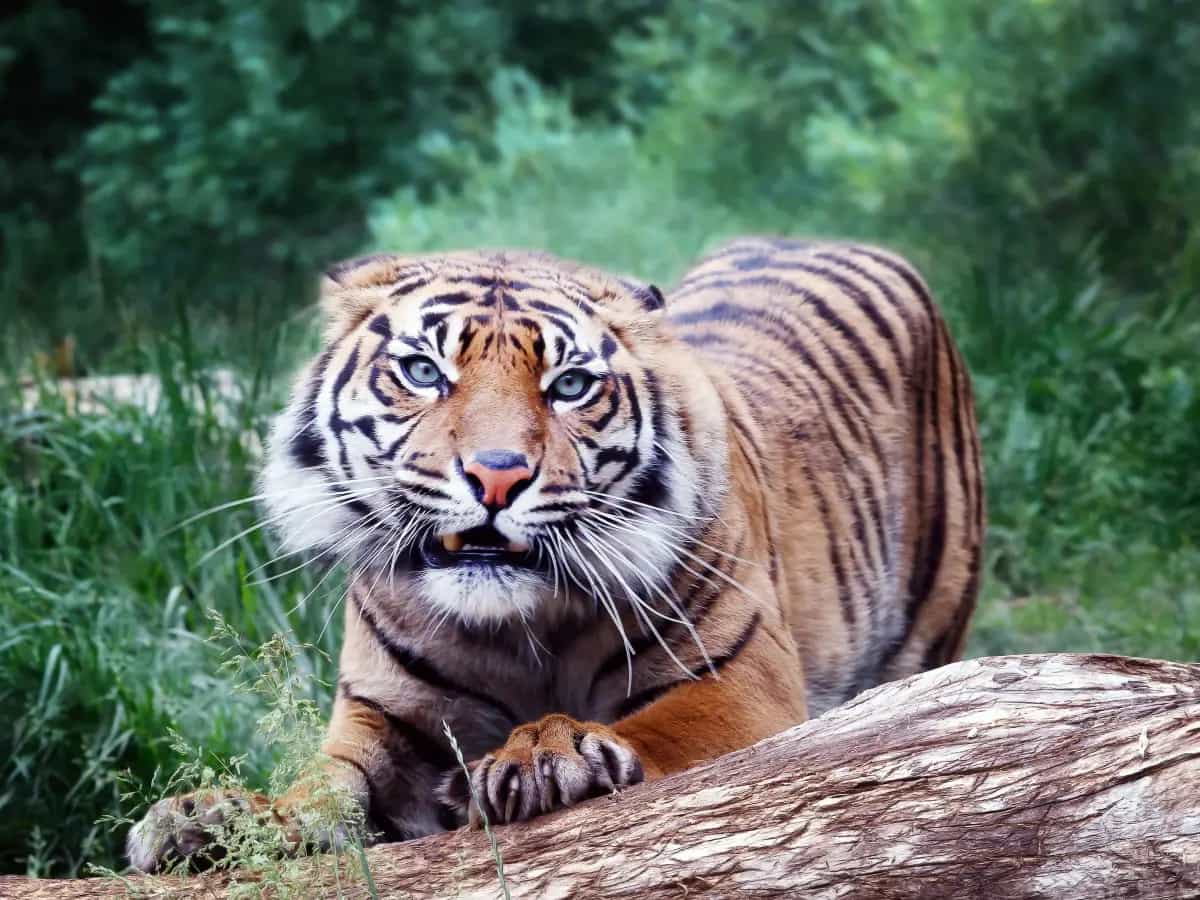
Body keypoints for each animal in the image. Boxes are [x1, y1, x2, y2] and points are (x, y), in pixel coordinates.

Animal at [127, 237, 984, 872]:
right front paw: (207, 819)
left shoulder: (742, 685)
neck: (517, 629)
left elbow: (661, 728)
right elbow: (319, 788)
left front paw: (549, 754)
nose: (497, 474)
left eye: (569, 385)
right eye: (423, 372)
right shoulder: (383, 717)